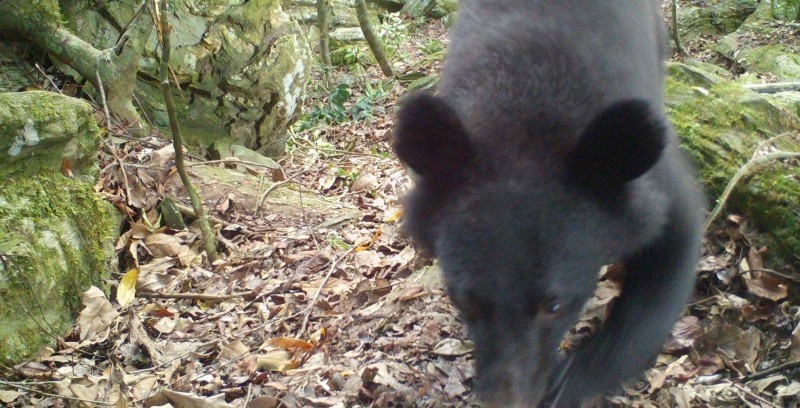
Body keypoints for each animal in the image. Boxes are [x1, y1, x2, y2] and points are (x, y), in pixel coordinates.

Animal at [392, 0, 700, 408]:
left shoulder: (652, 188)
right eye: (466, 301)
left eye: (554, 306)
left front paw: (570, 381)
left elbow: (674, 253)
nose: (507, 401)